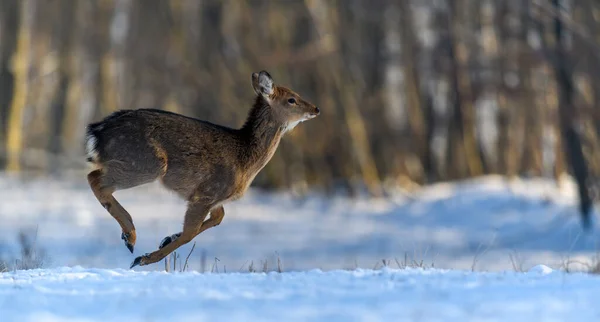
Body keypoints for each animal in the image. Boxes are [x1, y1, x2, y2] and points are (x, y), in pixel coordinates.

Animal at [85, 71, 322, 270]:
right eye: (291, 99)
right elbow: (191, 233)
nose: (316, 109)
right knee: (94, 177)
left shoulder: (214, 199)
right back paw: (131, 237)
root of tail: (97, 131)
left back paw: (130, 237)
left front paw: (166, 238)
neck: (245, 161)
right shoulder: (206, 192)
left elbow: (217, 218)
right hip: (147, 163)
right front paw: (145, 258)